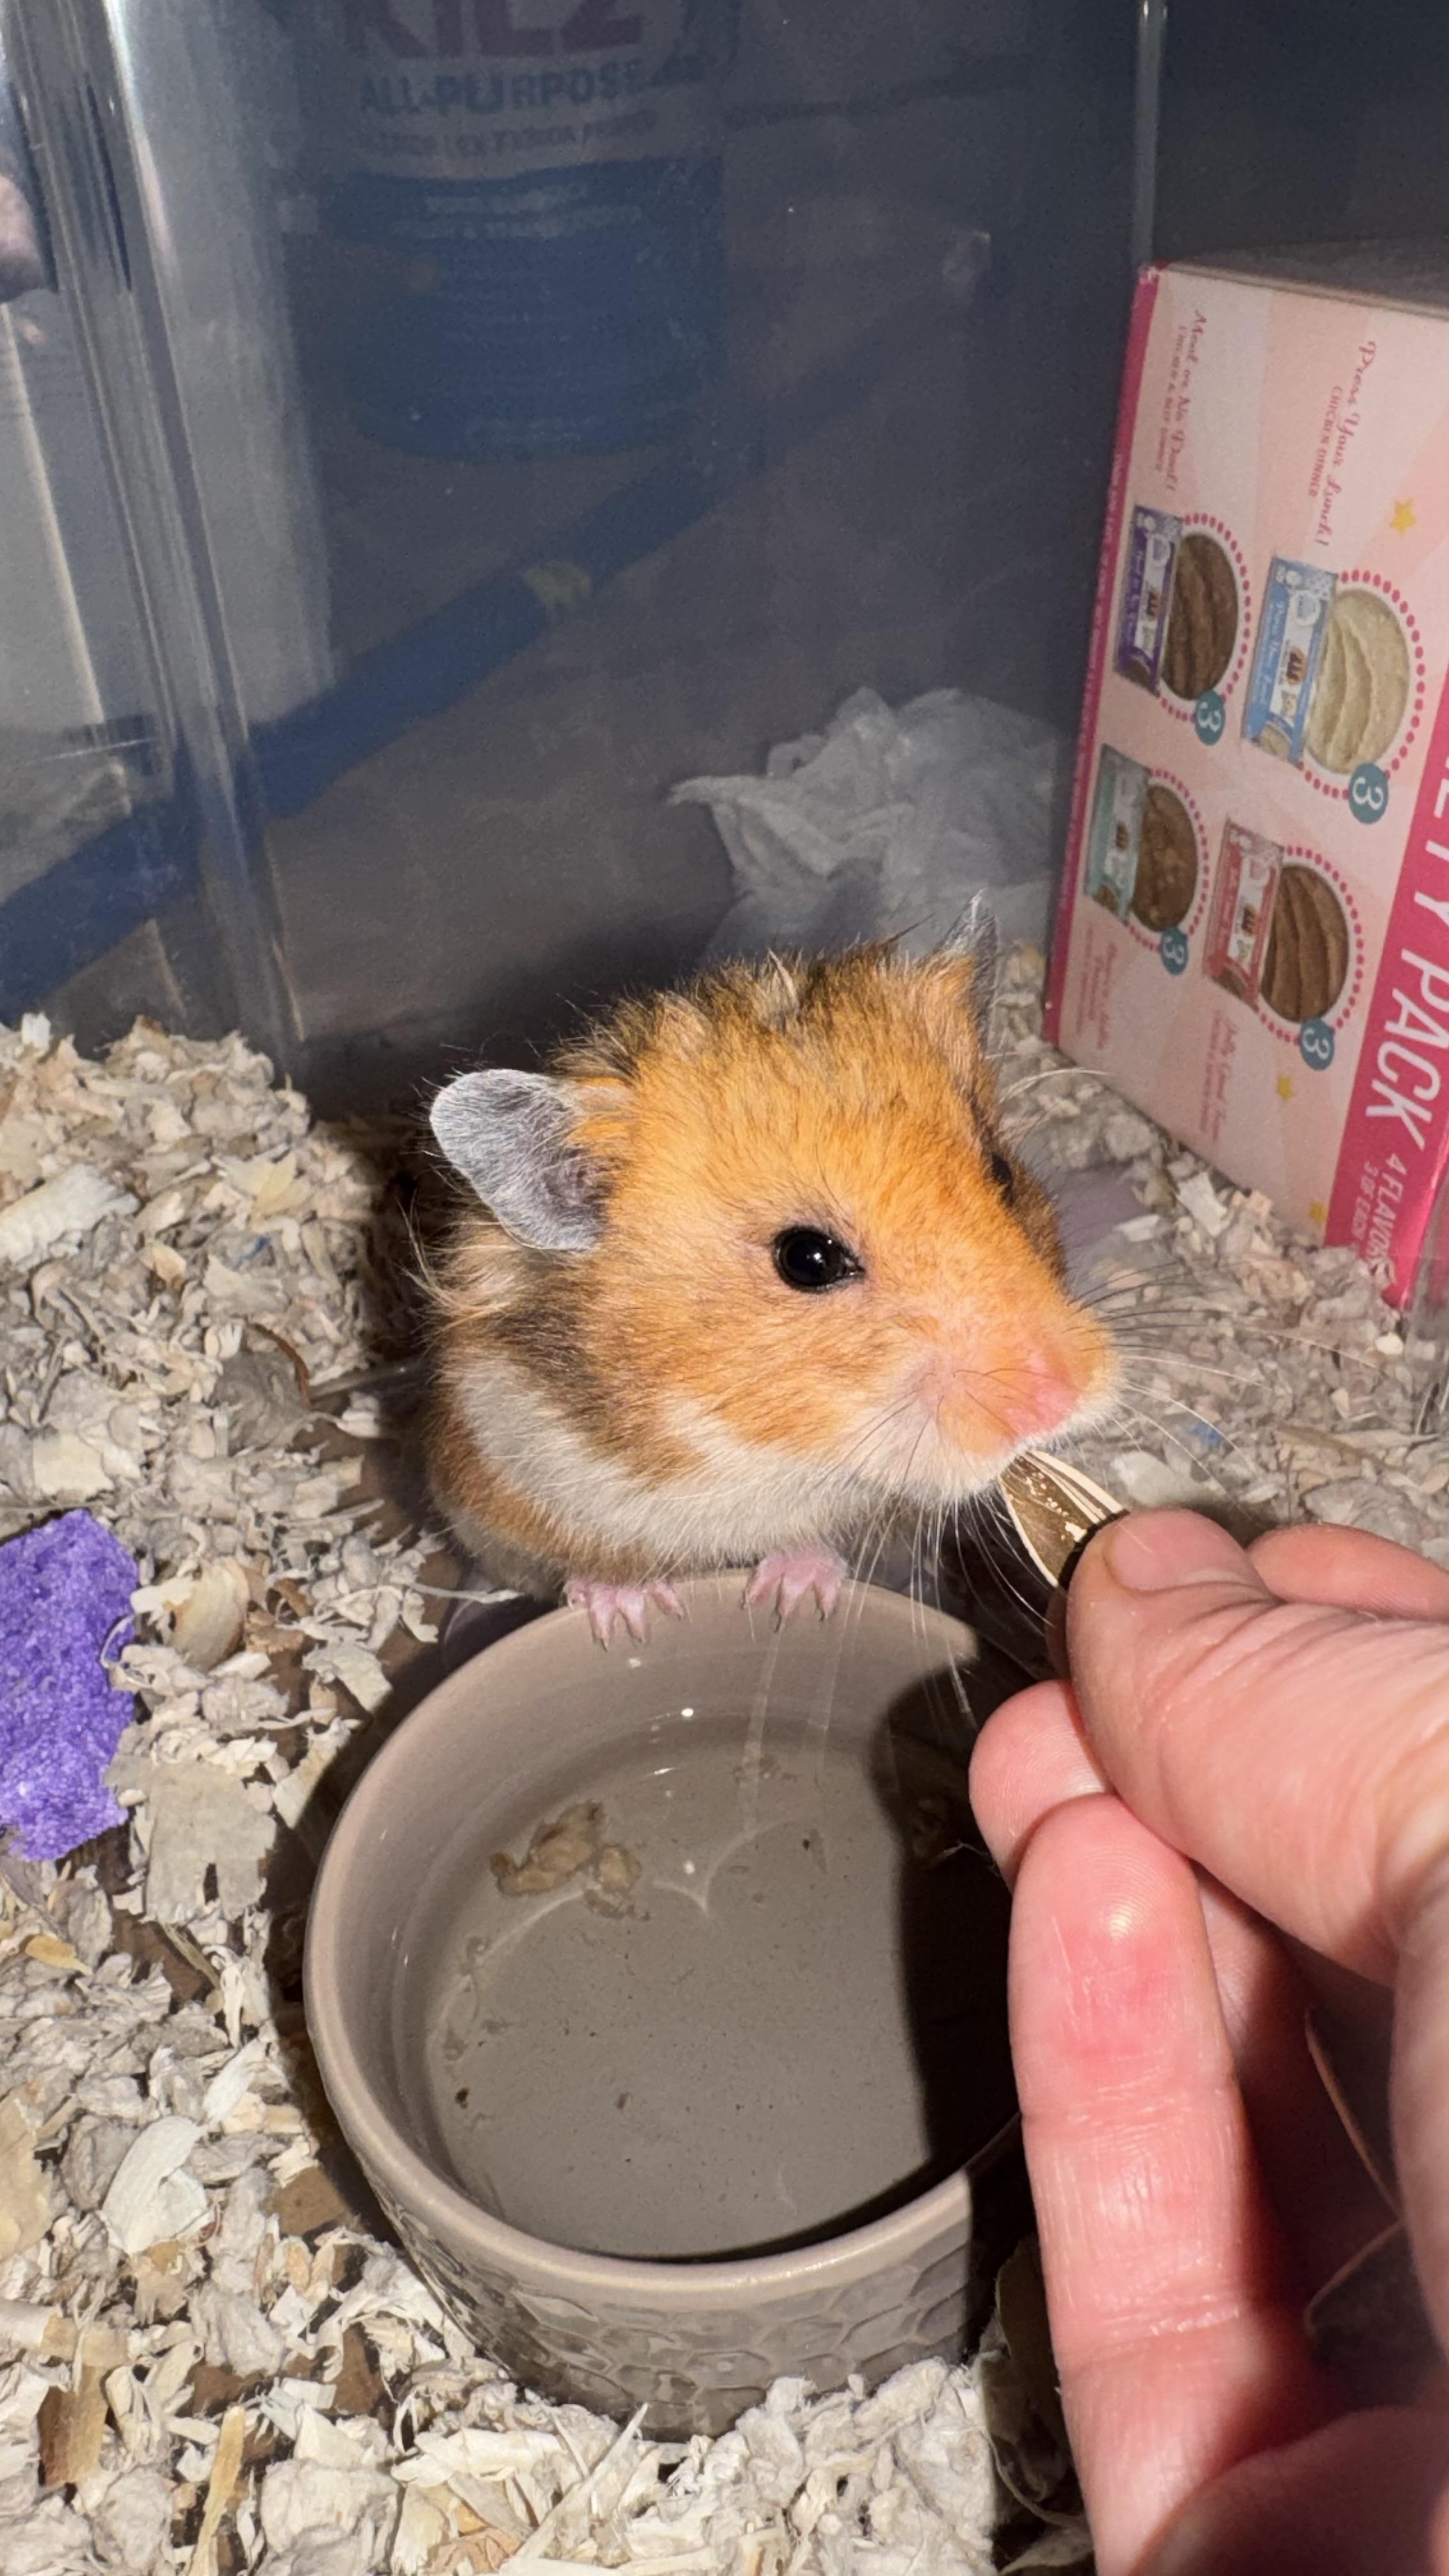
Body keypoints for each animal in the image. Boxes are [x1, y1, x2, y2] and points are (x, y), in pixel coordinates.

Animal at [425, 927, 1118, 1644]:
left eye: (1003, 1175)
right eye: (808, 1259)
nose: (1058, 1402)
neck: (756, 1447)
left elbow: (817, 1541)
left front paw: (794, 1596)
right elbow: (586, 1565)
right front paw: (627, 1619)